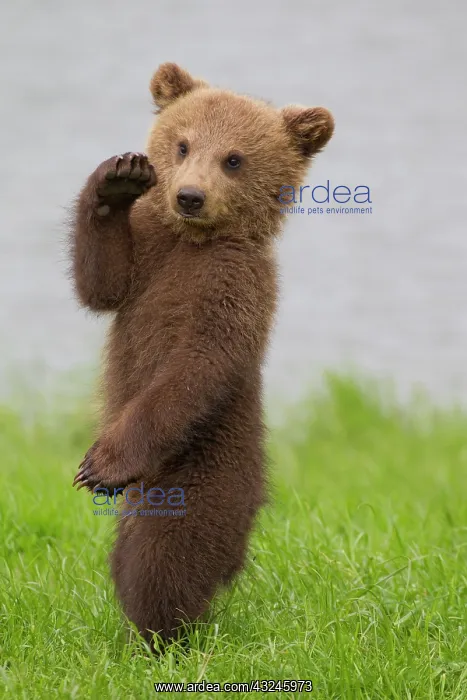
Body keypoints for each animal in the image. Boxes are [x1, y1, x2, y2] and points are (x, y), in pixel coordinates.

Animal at [70, 62, 334, 648]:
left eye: (233, 158)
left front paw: (99, 465)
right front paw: (117, 179)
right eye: (183, 144)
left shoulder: (233, 289)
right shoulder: (147, 260)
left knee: (165, 555)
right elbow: (102, 283)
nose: (190, 196)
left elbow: (194, 367)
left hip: (203, 471)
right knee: (129, 553)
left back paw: (160, 636)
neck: (192, 242)